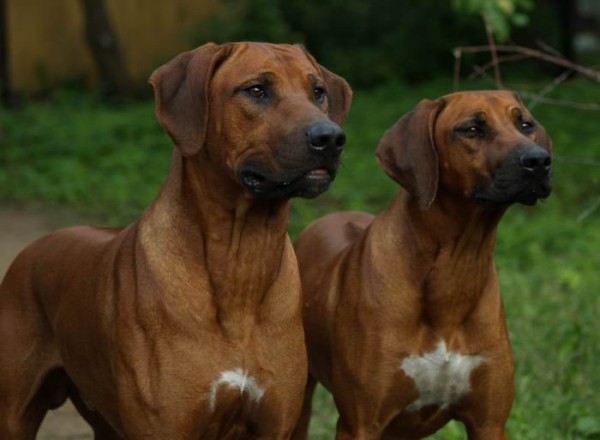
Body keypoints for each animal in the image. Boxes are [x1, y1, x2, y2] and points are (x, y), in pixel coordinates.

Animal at [0, 42, 352, 440]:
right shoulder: (164, 426)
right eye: (256, 90)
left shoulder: (275, 424)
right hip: (14, 413)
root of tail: (33, 247)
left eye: (318, 91)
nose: (330, 138)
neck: (242, 258)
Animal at [292, 91, 552, 438]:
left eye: (526, 124)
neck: (457, 265)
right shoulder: (360, 424)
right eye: (471, 129)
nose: (539, 160)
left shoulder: (490, 423)